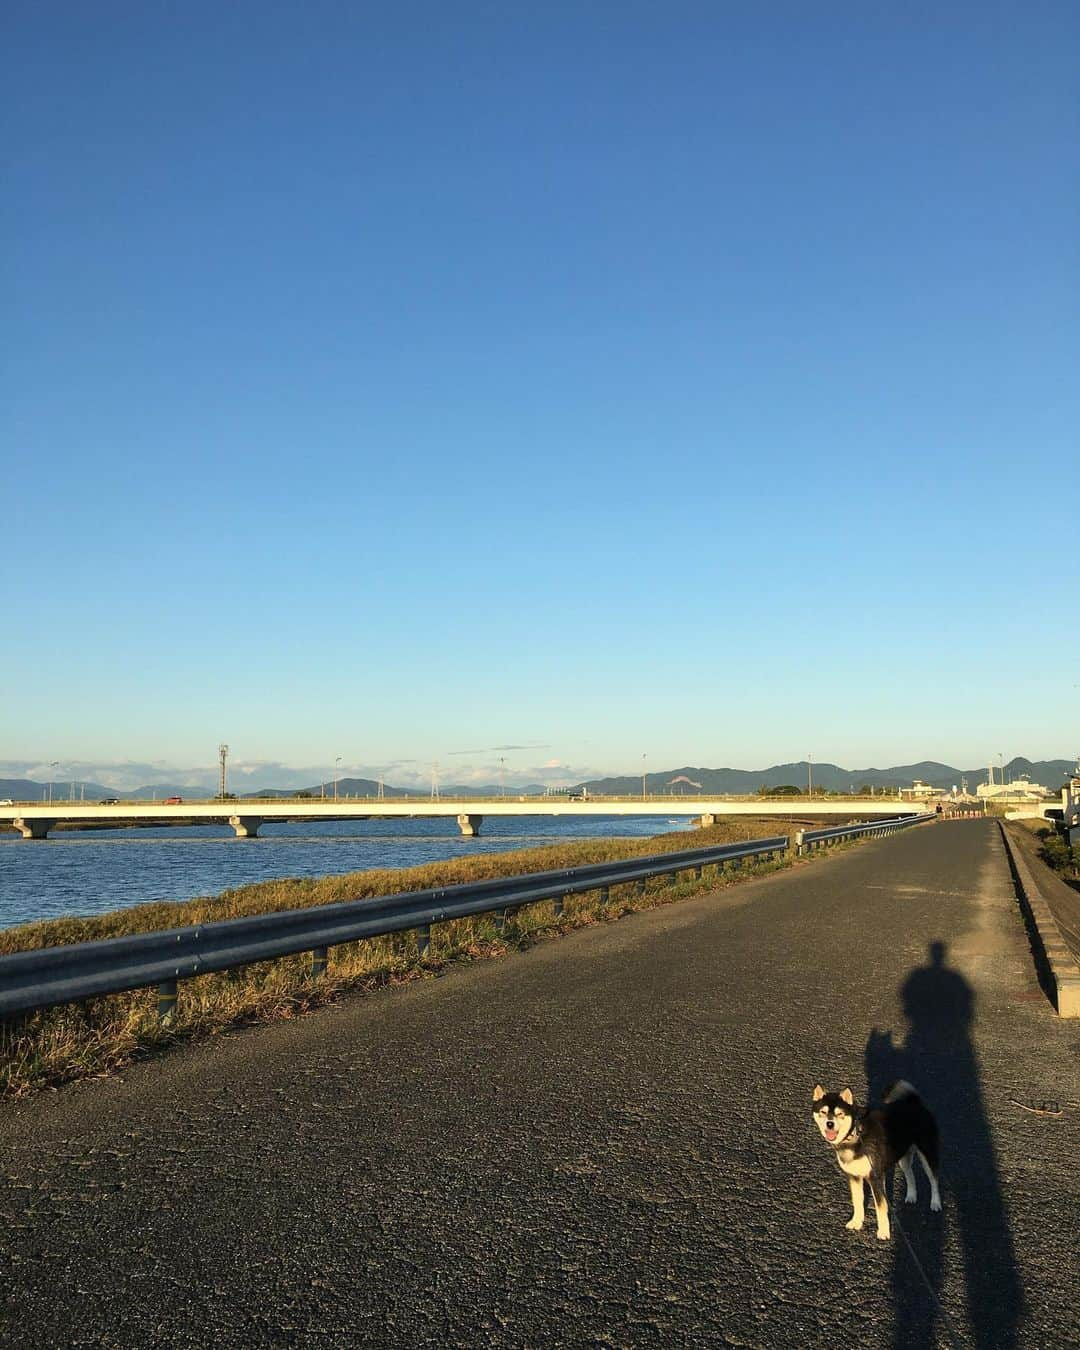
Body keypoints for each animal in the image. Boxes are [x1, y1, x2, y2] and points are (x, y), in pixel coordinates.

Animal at [815, 1080, 939, 1236]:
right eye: (823, 1112)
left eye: (840, 1114)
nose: (829, 1124)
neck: (856, 1133)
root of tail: (914, 1101)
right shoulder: (853, 1176)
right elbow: (857, 1201)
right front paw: (857, 1222)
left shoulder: (876, 1177)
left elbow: (881, 1207)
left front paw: (884, 1232)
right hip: (902, 1156)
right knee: (910, 1174)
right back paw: (911, 1195)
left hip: (927, 1153)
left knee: (934, 1180)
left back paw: (935, 1203)